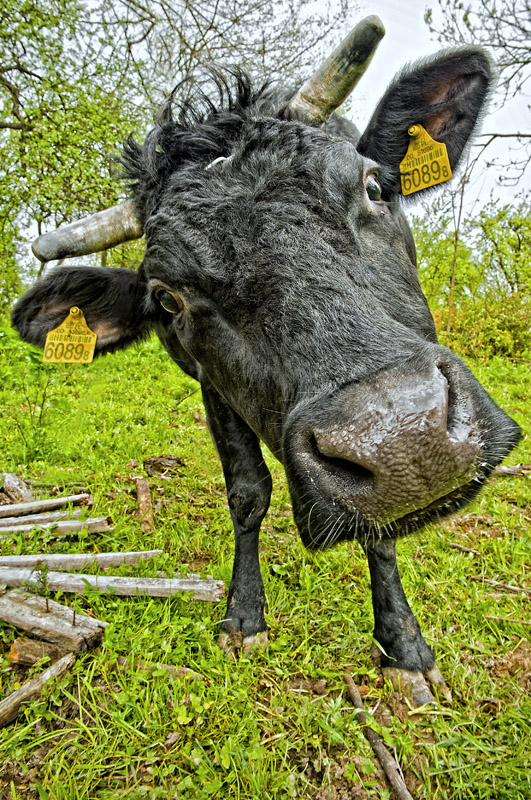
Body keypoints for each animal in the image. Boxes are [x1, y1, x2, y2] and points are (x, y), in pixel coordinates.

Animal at [11, 18, 520, 704]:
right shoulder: (214, 390)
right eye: (167, 298)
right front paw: (245, 617)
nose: (404, 439)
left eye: (374, 186)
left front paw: (404, 646)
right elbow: (248, 492)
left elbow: (384, 533)